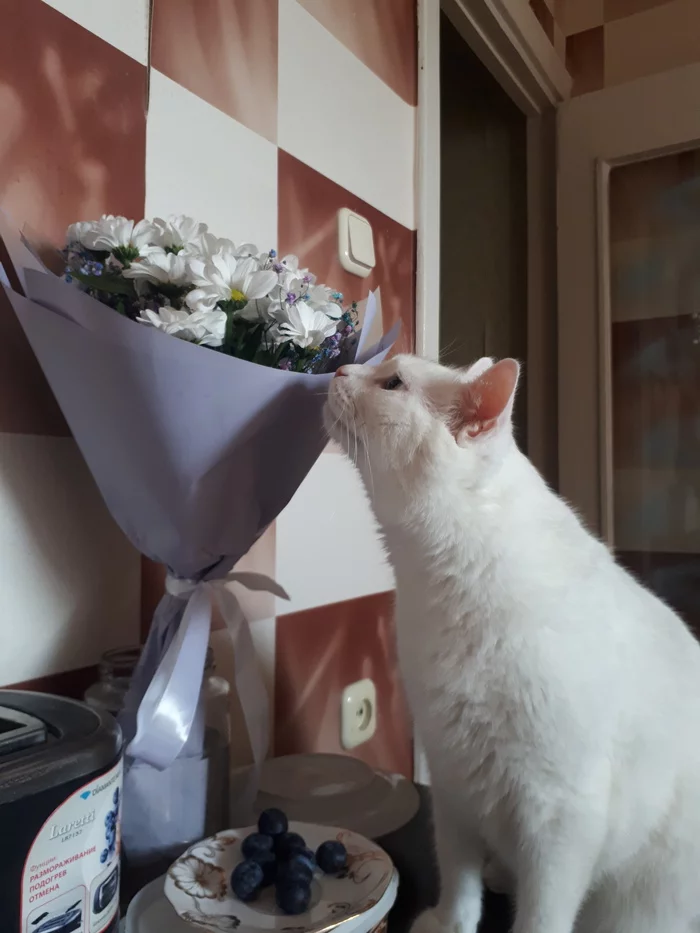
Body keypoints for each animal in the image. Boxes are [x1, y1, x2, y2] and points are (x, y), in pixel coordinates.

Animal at [326, 354, 700, 932]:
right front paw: (448, 923)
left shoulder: (560, 813)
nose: (341, 368)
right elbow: (457, 872)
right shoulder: (452, 776)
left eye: (392, 382)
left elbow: (541, 914)